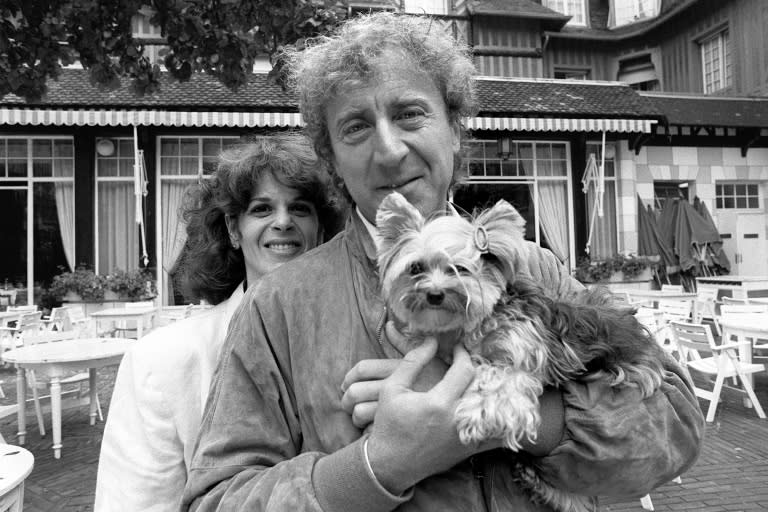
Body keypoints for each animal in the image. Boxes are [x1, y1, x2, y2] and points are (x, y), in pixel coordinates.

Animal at [376, 192, 668, 512]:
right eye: (416, 268)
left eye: (461, 269)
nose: (434, 294)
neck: (480, 321)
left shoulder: (524, 350)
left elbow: (500, 378)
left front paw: (481, 411)